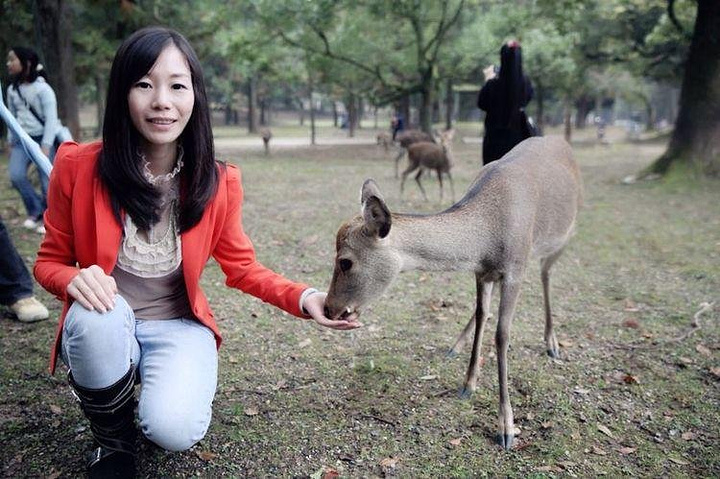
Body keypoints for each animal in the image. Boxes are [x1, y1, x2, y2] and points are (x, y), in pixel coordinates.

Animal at [324, 136, 583, 450]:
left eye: (345, 261)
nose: (328, 308)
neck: (486, 239)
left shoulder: (514, 269)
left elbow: (502, 335)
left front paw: (506, 428)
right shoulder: (482, 272)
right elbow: (483, 315)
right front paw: (468, 384)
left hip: (567, 233)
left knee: (546, 275)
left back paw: (552, 343)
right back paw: (456, 345)